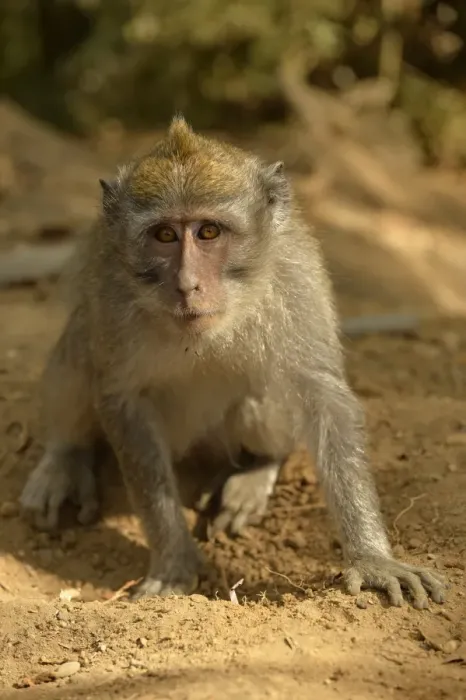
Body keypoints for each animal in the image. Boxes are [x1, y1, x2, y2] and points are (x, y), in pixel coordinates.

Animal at [19, 116, 446, 607]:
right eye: (164, 235)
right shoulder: (109, 286)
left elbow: (322, 393)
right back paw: (66, 457)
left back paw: (255, 470)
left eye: (208, 232)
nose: (187, 285)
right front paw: (173, 561)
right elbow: (121, 398)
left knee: (264, 395)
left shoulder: (293, 275)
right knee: (78, 338)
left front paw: (373, 559)